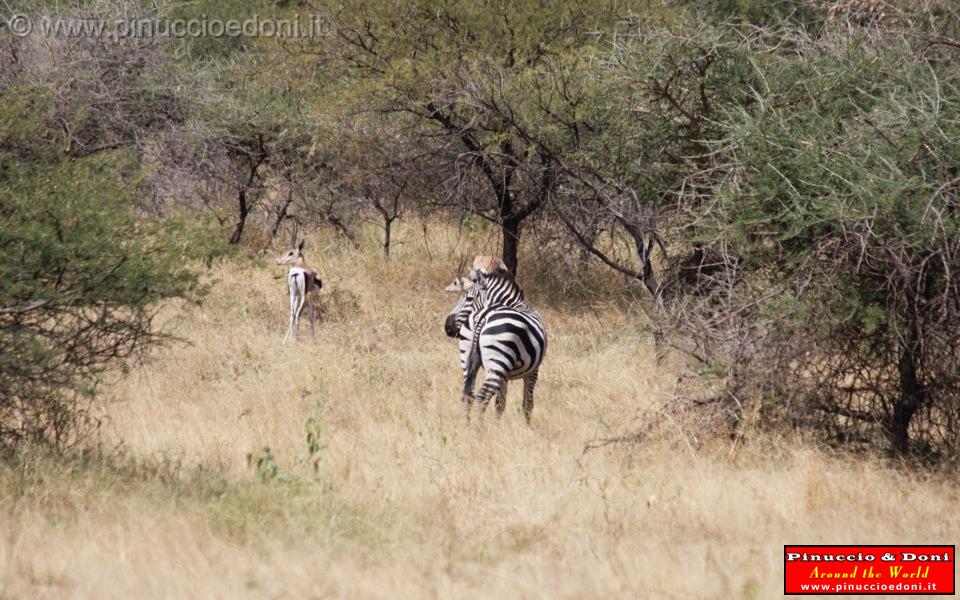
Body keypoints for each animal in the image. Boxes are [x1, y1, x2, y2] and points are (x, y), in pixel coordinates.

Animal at [444, 264, 548, 424]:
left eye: (469, 298)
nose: (447, 327)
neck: (517, 305)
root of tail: (483, 316)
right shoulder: (533, 371)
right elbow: (527, 404)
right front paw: (528, 427)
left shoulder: (505, 375)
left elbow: (500, 404)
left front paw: (499, 426)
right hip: (497, 360)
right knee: (482, 396)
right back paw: (479, 428)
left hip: (468, 357)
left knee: (468, 394)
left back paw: (467, 426)